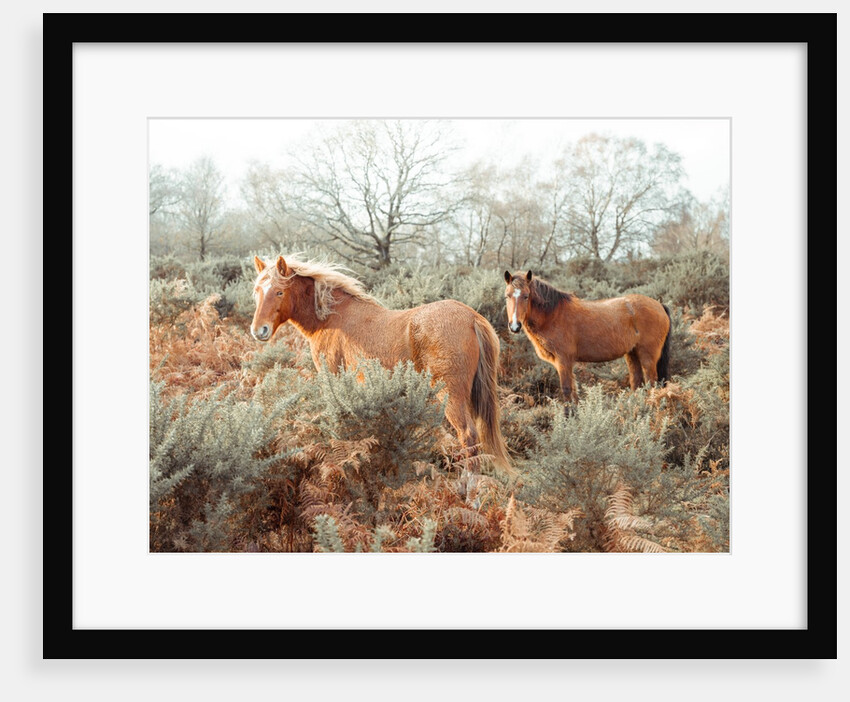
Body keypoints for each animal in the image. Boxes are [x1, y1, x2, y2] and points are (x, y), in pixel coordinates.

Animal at [250, 255, 511, 475]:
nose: (258, 330)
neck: (331, 317)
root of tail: (472, 318)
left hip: (451, 395)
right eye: (257, 292)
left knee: (468, 436)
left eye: (279, 292)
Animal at [503, 269, 671, 402]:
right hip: (632, 354)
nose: (514, 326)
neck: (553, 315)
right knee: (637, 384)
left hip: (648, 357)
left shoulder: (564, 361)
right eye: (507, 296)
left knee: (652, 383)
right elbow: (573, 392)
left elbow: (566, 390)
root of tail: (659, 305)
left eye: (526, 296)